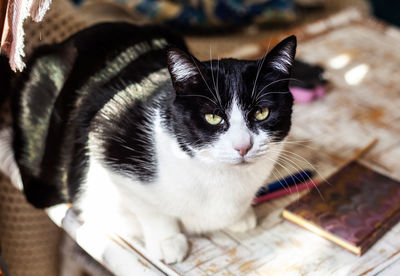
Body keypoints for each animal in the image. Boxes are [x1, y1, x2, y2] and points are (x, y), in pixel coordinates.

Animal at [7, 22, 296, 264]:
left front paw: (241, 218)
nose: (242, 146)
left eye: (261, 112)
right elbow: (149, 208)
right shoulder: (104, 138)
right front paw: (167, 240)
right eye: (213, 117)